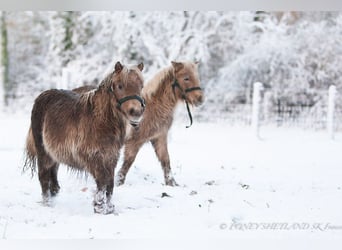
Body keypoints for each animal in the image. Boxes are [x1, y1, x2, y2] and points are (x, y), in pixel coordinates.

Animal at [23, 61, 144, 214]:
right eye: (120, 86)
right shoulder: (93, 158)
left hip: (54, 155)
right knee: (44, 178)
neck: (100, 120)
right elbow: (102, 182)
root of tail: (42, 96)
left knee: (53, 177)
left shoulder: (111, 157)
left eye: (141, 86)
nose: (136, 113)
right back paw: (47, 204)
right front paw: (99, 207)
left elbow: (110, 184)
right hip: (43, 153)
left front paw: (109, 208)